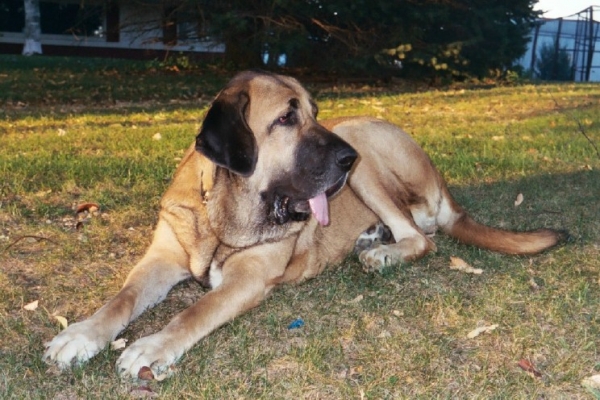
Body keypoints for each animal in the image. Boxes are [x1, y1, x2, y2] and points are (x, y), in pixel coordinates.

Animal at [44, 70, 564, 380]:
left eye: (315, 113)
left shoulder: (247, 278)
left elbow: (195, 311)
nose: (345, 160)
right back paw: (373, 237)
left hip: (362, 141)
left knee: (422, 238)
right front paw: (80, 336)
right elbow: (121, 298)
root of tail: (441, 179)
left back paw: (383, 250)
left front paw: (151, 346)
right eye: (286, 119)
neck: (226, 210)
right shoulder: (161, 257)